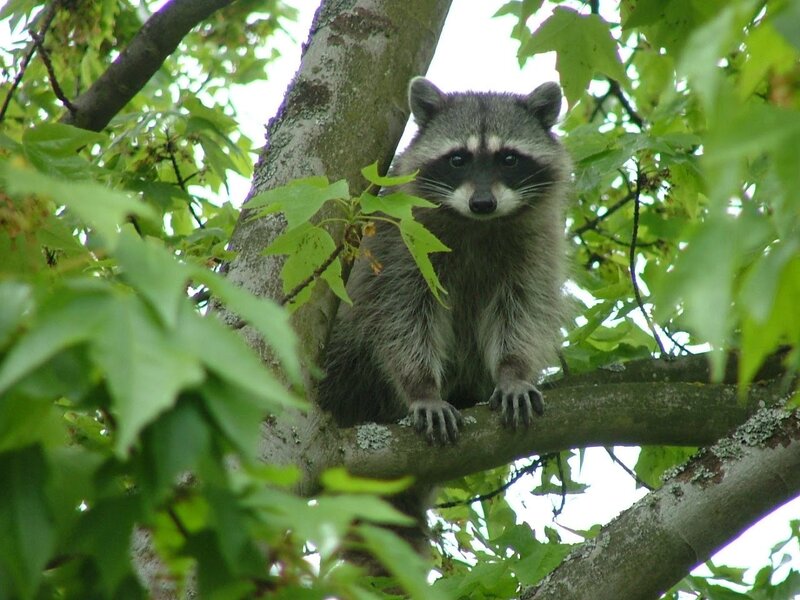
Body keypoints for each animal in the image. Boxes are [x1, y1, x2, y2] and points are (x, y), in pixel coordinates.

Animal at [318, 77, 571, 444]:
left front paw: (513, 371)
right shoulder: (400, 246)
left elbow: (524, 309)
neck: (476, 224)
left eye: (508, 159)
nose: (483, 203)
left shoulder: (537, 246)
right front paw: (422, 388)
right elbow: (401, 316)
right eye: (458, 159)